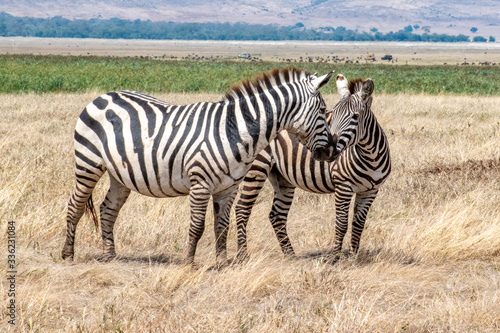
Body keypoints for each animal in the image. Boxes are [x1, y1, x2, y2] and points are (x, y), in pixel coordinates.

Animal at [60, 68, 340, 264]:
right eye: (323, 109)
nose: (331, 151)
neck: (234, 130)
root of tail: (103, 95)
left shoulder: (228, 188)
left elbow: (221, 227)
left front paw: (222, 263)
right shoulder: (200, 183)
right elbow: (197, 226)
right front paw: (189, 264)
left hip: (120, 174)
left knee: (108, 209)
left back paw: (110, 255)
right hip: (88, 163)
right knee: (75, 205)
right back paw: (68, 254)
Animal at [233, 74, 390, 260]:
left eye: (355, 117)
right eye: (332, 116)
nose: (330, 149)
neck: (369, 156)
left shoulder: (370, 191)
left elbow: (358, 225)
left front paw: (353, 258)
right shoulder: (343, 186)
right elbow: (342, 223)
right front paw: (335, 258)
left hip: (282, 177)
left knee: (277, 215)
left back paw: (291, 256)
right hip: (257, 168)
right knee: (242, 209)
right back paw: (243, 255)